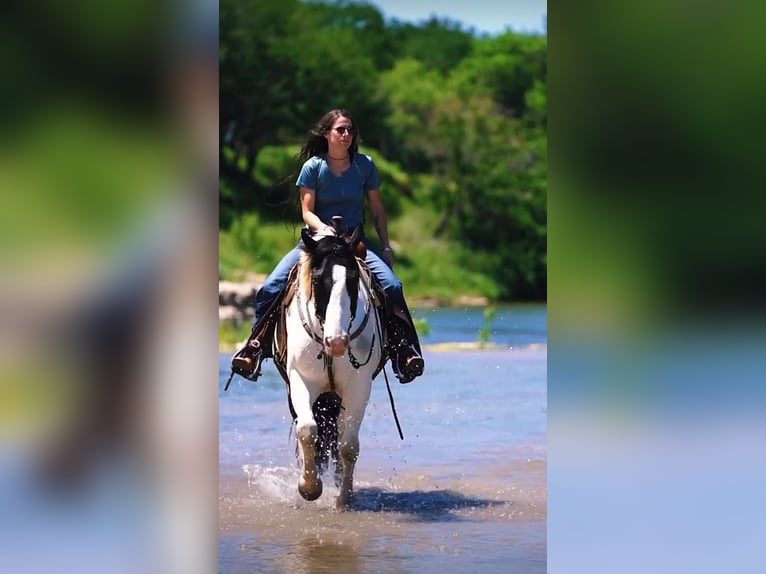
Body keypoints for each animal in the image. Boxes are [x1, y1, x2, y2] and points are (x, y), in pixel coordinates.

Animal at [274, 220, 384, 508]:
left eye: (354, 279)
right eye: (316, 279)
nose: (337, 342)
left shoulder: (359, 386)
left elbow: (349, 445)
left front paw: (344, 497)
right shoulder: (301, 379)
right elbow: (307, 430)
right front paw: (309, 487)